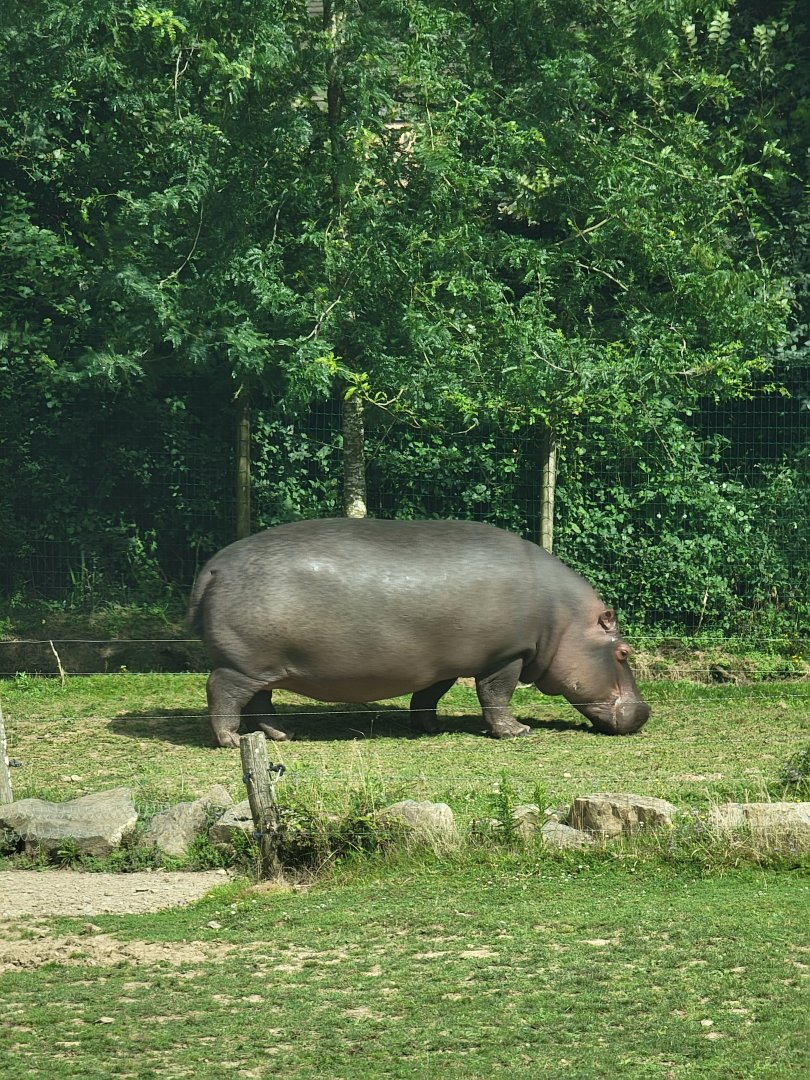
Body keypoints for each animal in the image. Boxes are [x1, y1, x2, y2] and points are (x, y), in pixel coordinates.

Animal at [188, 518, 650, 747]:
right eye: (624, 652)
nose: (645, 712)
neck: (565, 619)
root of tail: (213, 566)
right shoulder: (507, 656)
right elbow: (496, 695)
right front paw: (518, 732)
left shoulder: (445, 662)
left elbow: (429, 695)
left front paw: (429, 728)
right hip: (240, 665)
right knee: (222, 692)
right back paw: (231, 740)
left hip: (262, 667)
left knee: (260, 702)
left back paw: (285, 735)